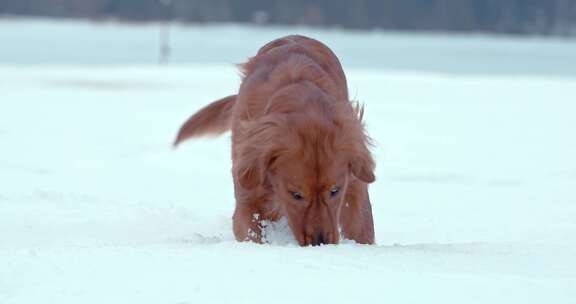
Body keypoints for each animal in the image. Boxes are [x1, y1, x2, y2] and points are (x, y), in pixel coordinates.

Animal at [173, 35, 376, 245]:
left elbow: (361, 225)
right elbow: (251, 230)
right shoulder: (249, 190)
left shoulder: (354, 184)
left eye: (335, 190)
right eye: (296, 194)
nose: (319, 242)